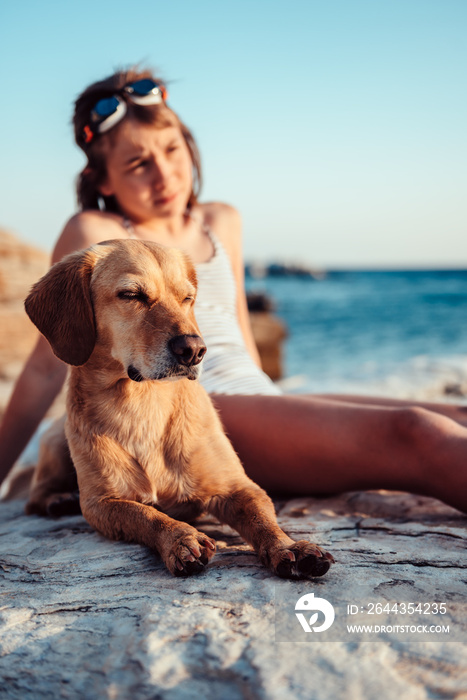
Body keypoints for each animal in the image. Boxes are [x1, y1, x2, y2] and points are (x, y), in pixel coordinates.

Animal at [23, 241, 334, 580]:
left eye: (187, 298)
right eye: (131, 295)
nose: (194, 350)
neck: (141, 403)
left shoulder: (237, 487)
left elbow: (261, 520)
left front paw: (288, 546)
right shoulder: (102, 503)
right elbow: (147, 515)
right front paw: (180, 539)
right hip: (56, 440)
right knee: (34, 495)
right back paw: (58, 499)